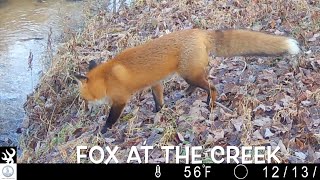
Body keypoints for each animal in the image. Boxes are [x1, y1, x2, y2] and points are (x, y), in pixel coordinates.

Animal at [75, 28, 300, 134]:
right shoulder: (155, 83)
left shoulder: (120, 100)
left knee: (212, 86)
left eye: (83, 99)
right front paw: (159, 113)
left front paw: (103, 131)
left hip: (189, 74)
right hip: (189, 73)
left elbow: (111, 118)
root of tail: (199, 31)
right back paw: (188, 93)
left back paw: (210, 104)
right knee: (200, 84)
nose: (83, 111)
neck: (106, 78)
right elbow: (158, 101)